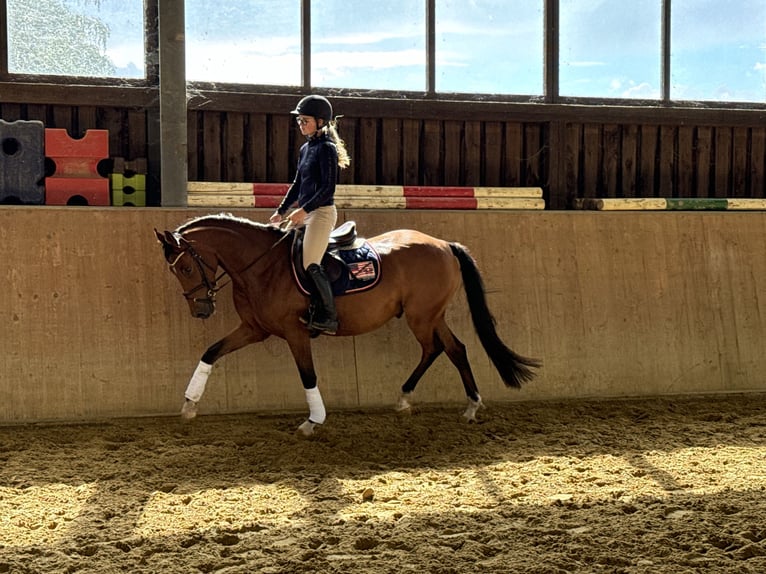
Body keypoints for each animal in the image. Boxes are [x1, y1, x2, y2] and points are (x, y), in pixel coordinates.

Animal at [154, 215, 540, 436]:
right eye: (174, 271)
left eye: (185, 267)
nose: (201, 310)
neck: (262, 266)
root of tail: (444, 244)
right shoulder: (254, 329)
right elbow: (211, 352)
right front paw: (189, 405)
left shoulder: (294, 332)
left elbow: (307, 374)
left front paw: (313, 420)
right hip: (431, 315)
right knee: (451, 348)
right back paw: (449, 403)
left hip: (422, 316)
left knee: (439, 348)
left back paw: (443, 401)